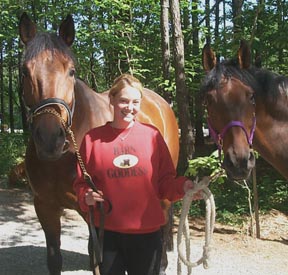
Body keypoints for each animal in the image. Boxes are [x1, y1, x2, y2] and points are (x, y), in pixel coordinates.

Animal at [18, 13, 180, 275]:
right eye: (24, 71)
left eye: (71, 71)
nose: (50, 139)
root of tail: (161, 102)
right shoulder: (45, 207)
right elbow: (55, 259)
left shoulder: (93, 212)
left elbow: (97, 259)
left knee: (164, 223)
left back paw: (162, 264)